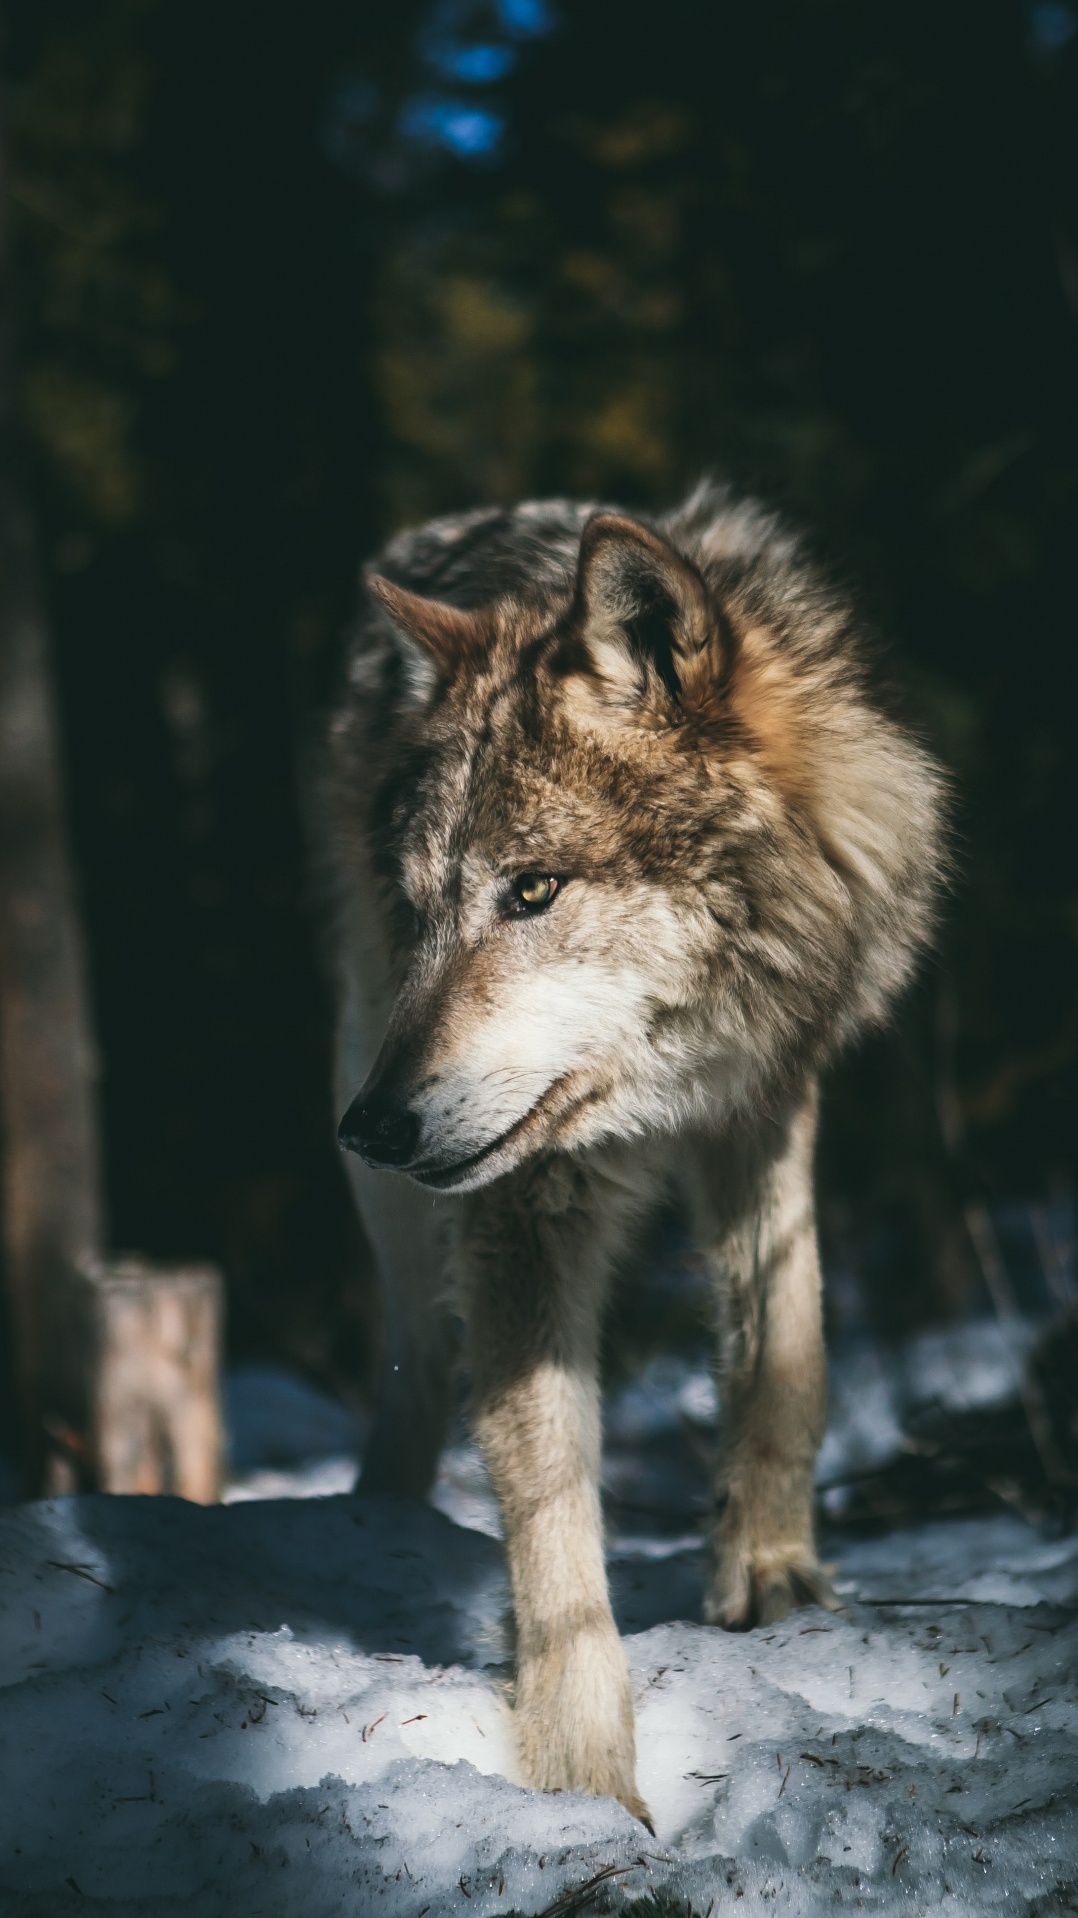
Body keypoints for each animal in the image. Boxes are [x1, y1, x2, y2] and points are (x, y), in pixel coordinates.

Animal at [322, 471, 943, 1818]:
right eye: (422, 907)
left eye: (533, 890)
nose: (373, 1124)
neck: (664, 1078)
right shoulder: (521, 1197)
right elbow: (549, 1498)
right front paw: (581, 1781)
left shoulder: (766, 1097)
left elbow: (787, 1351)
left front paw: (770, 1576)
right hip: (366, 1090)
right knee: (414, 1356)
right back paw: (370, 1522)